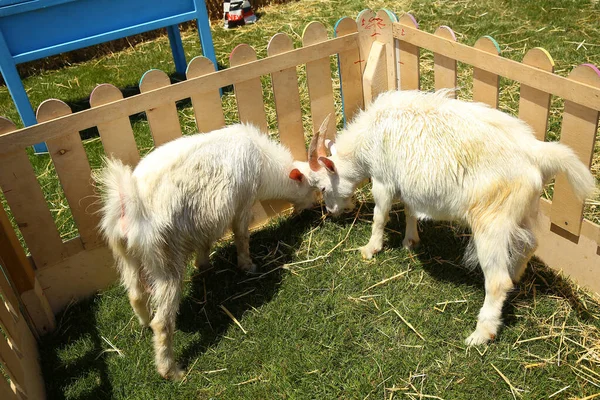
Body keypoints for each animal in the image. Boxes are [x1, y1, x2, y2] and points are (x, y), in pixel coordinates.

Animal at [96, 123, 316, 380]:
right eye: (313, 187)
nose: (313, 209)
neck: (263, 162)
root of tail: (129, 208)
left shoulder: (202, 222)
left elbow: (204, 245)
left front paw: (204, 266)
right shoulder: (242, 203)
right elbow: (241, 236)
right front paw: (248, 266)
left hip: (126, 256)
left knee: (135, 294)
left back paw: (144, 322)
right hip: (166, 259)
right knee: (163, 323)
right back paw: (171, 370)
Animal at [298, 90, 596, 344]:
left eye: (322, 187)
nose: (332, 212)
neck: (370, 137)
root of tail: (537, 154)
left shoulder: (383, 180)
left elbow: (380, 216)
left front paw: (370, 249)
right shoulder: (407, 183)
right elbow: (409, 209)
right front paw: (410, 241)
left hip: (491, 219)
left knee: (497, 281)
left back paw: (482, 333)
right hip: (521, 211)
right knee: (529, 244)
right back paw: (515, 278)